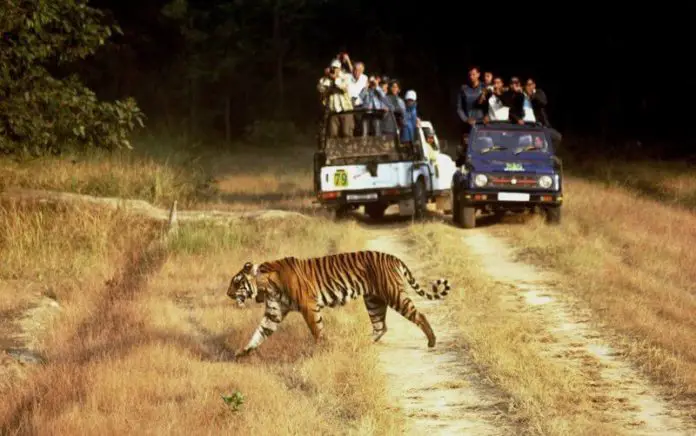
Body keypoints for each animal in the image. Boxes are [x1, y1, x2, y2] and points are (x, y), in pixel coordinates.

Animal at [226, 250, 448, 360]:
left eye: (236, 282)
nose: (228, 294)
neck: (266, 286)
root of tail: (392, 257)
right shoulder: (274, 313)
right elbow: (259, 333)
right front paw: (243, 352)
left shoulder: (308, 305)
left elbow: (316, 329)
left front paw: (322, 349)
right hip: (373, 301)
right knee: (380, 326)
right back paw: (359, 345)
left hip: (394, 295)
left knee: (419, 315)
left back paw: (432, 341)